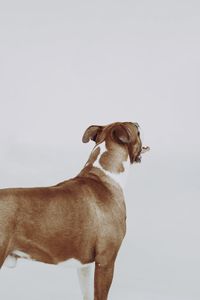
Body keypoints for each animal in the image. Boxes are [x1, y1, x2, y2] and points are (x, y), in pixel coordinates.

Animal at [0, 121, 150, 298]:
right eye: (137, 131)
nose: (138, 123)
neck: (104, 176)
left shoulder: (85, 266)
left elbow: (88, 294)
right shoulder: (105, 261)